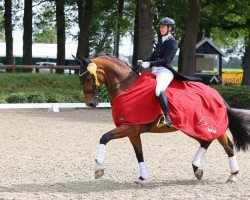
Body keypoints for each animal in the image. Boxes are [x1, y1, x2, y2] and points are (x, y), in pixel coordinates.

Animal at [74, 54, 250, 186]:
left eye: (88, 78)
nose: (90, 104)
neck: (127, 87)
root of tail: (217, 94)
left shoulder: (129, 127)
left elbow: (104, 137)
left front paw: (98, 169)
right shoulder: (133, 132)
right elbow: (139, 154)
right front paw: (142, 178)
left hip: (209, 126)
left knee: (228, 146)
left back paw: (232, 175)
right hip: (191, 127)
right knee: (205, 142)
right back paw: (197, 169)